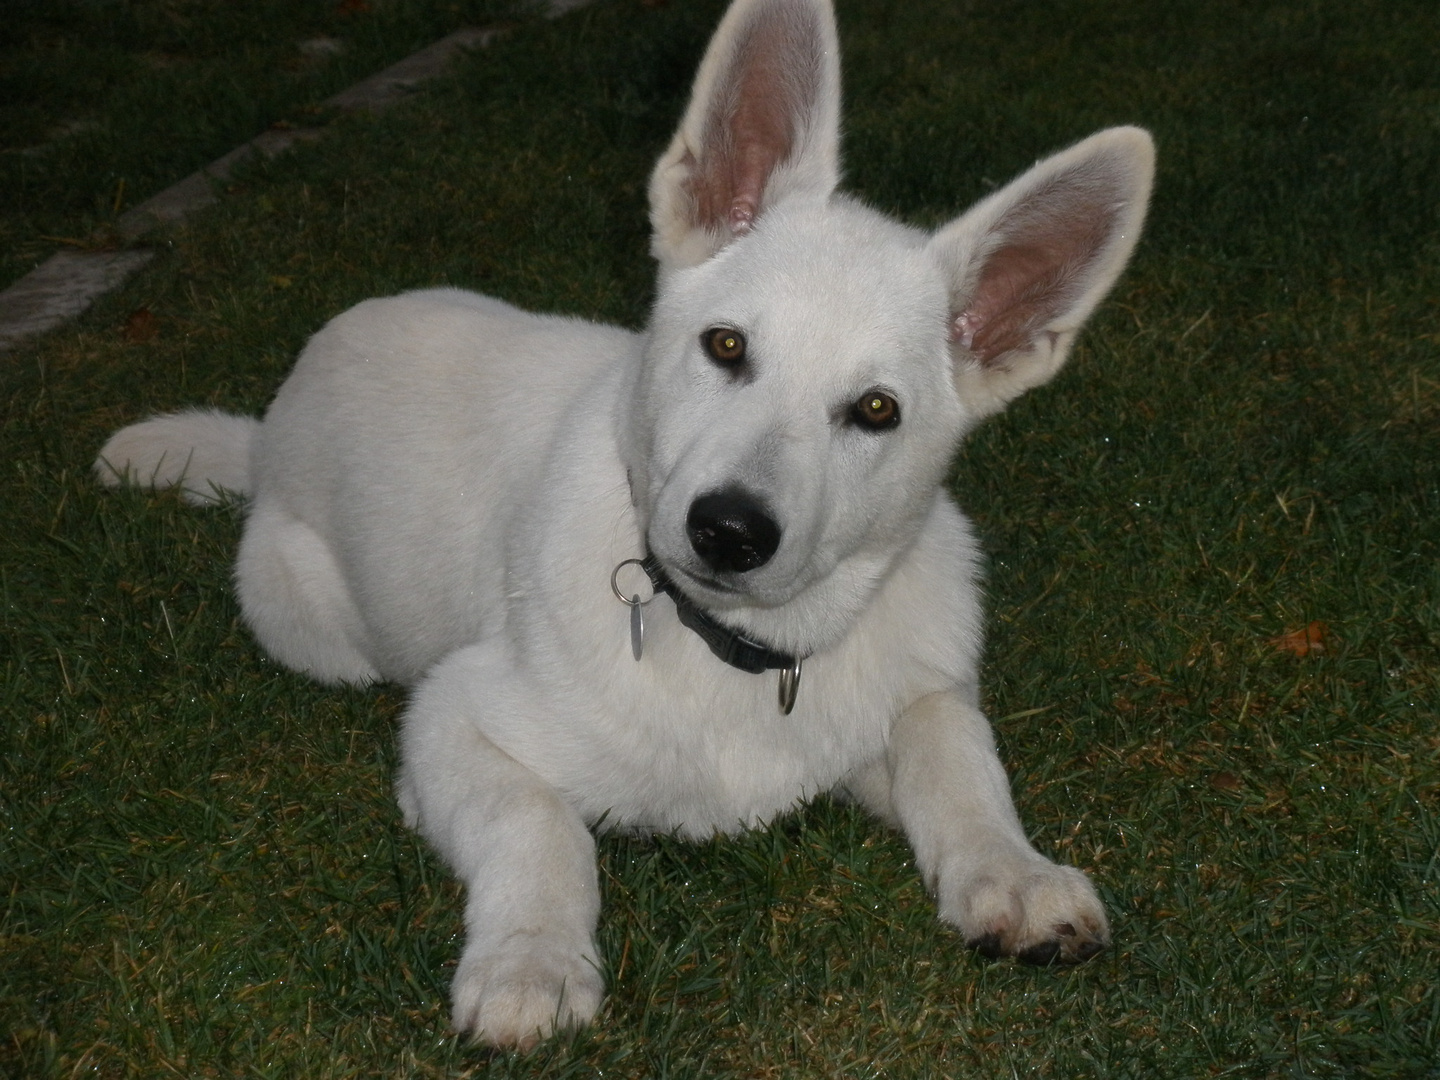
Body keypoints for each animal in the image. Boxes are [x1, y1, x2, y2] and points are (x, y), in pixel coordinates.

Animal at [95, 0, 1152, 1054]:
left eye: (877, 411)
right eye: (725, 345)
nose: (730, 531)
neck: (739, 651)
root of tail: (271, 425)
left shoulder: (911, 695)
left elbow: (956, 748)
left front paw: (1013, 873)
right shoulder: (451, 721)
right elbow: (540, 825)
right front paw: (530, 961)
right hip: (313, 625)